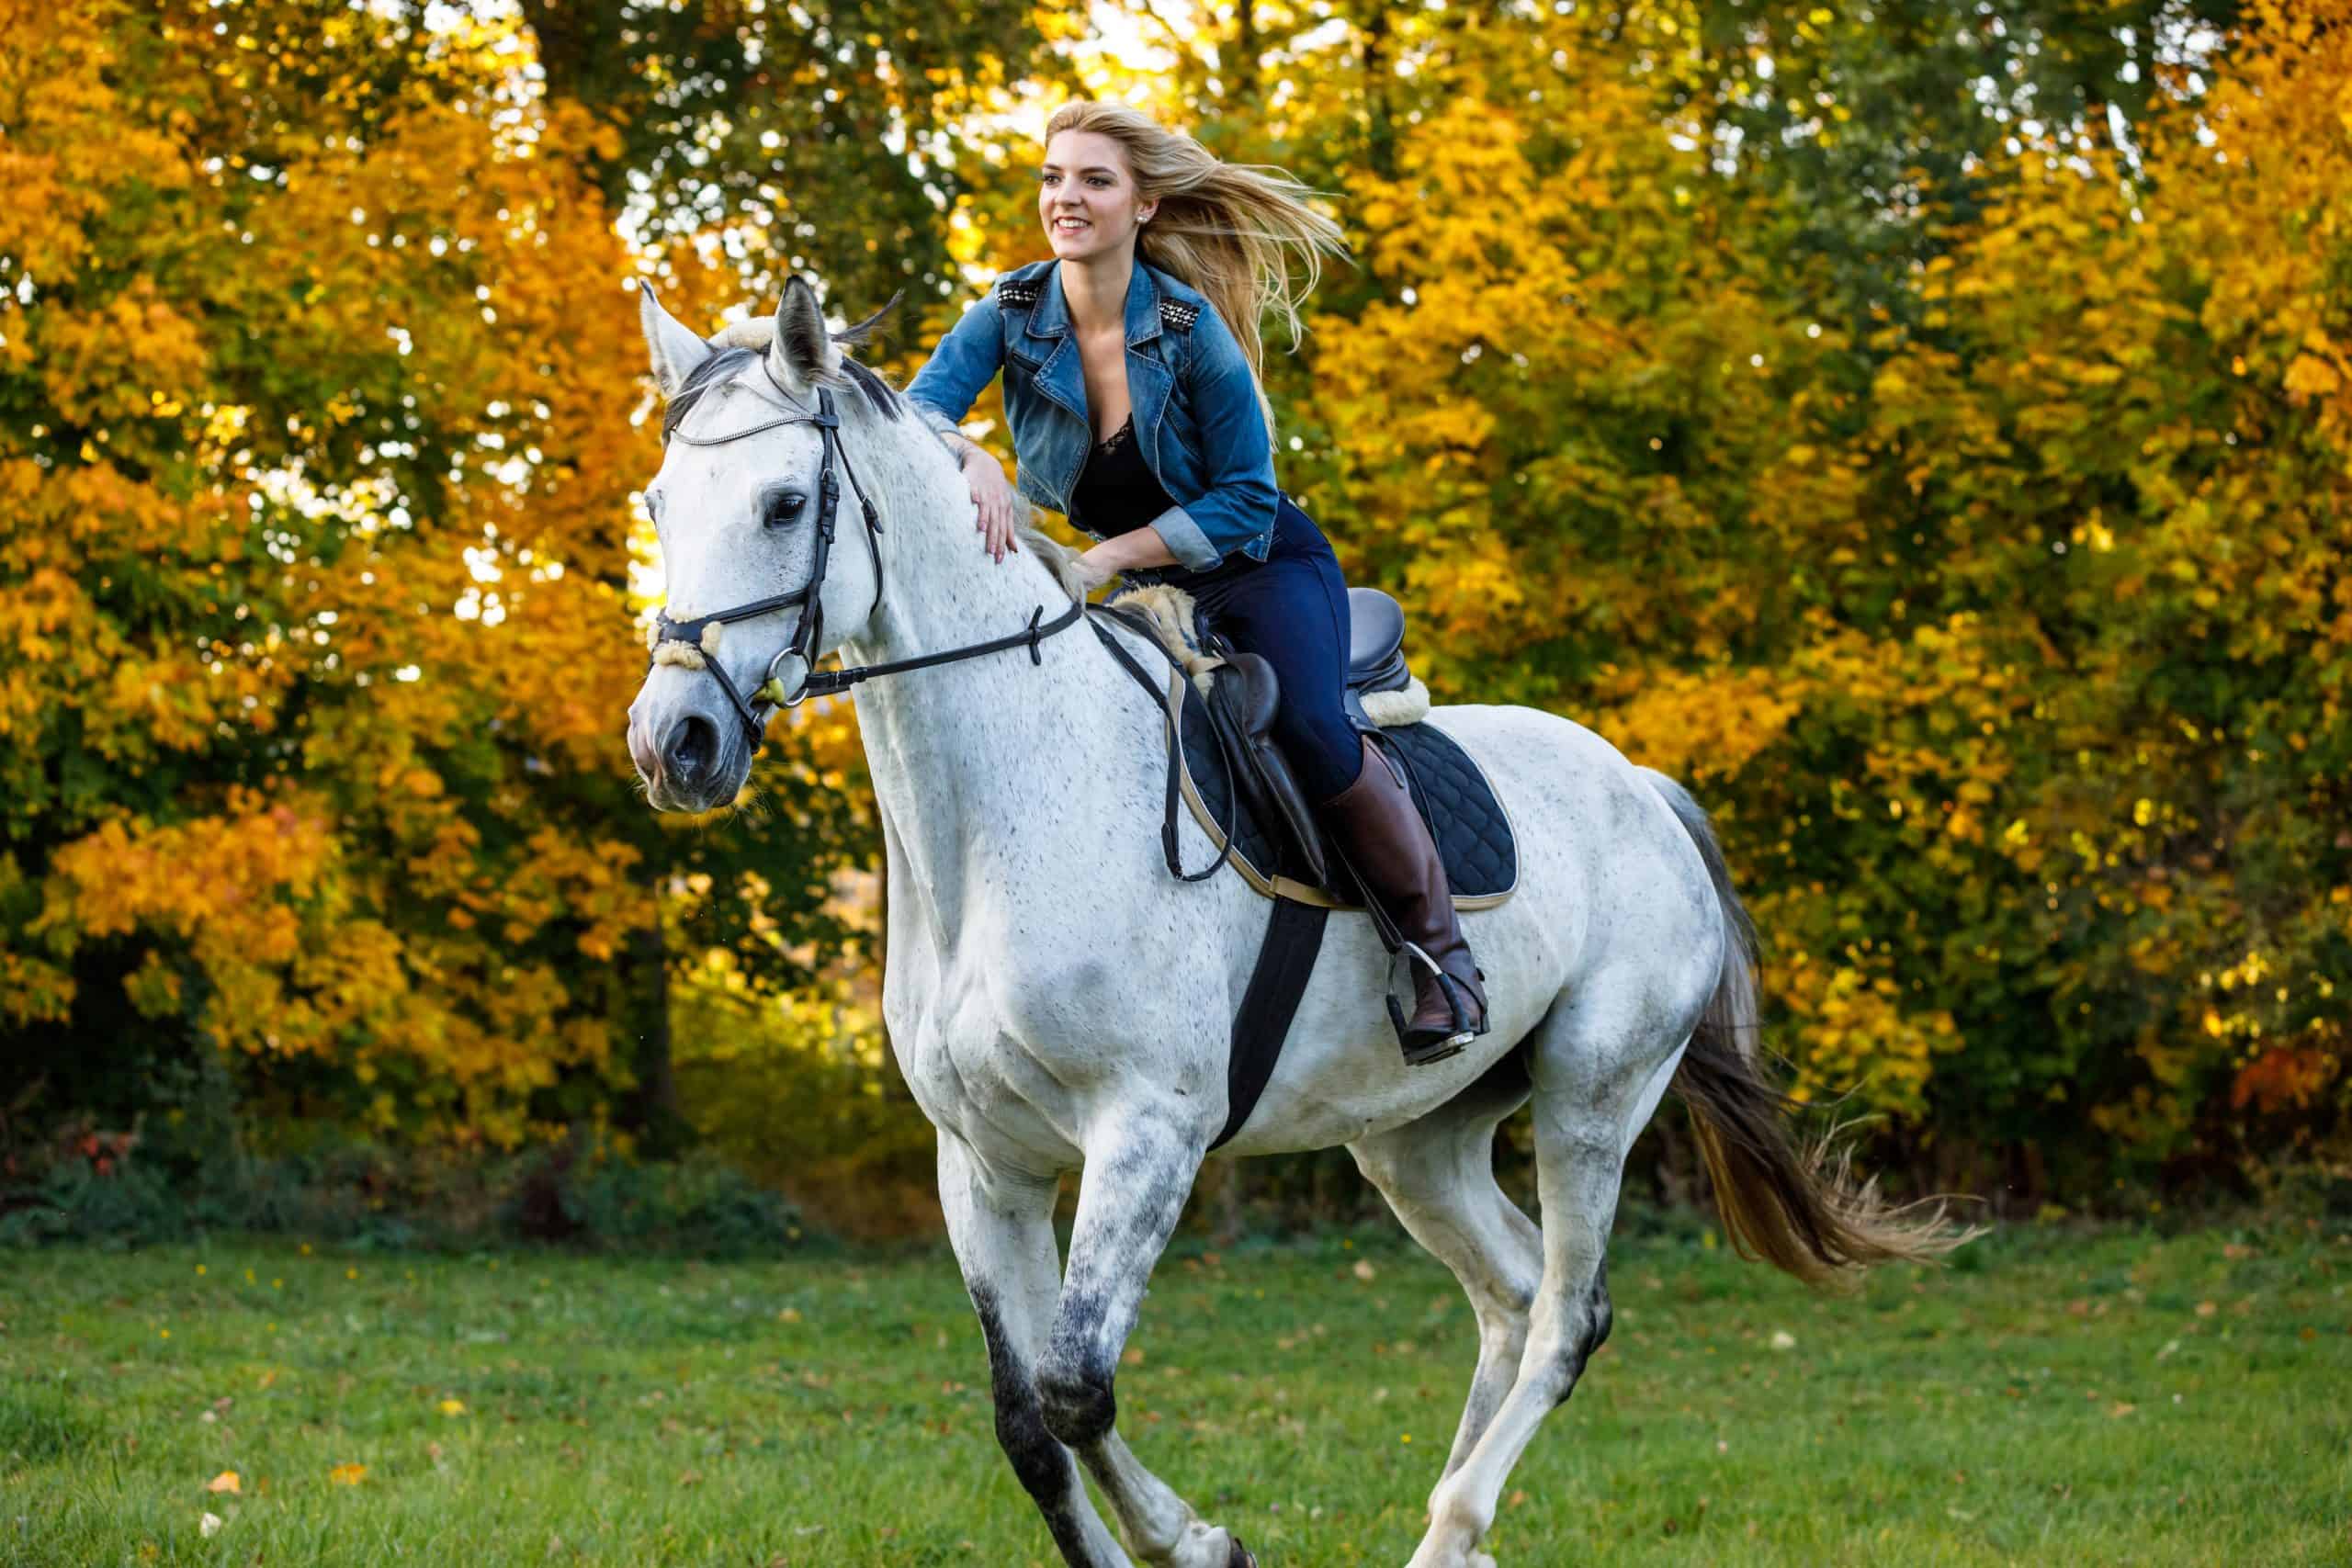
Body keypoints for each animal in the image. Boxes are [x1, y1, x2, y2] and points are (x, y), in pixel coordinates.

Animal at [625, 282, 1966, 1568]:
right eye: (659, 503)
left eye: (786, 502)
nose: (673, 741)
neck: (1003, 816)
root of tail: (1645, 786)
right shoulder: (985, 1157)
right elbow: (1028, 1425)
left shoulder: (1148, 1131)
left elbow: (1073, 1385)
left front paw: (1200, 1539)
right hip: (1419, 1136)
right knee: (1509, 1291)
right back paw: (1451, 1533)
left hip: (1595, 1091)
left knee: (1565, 1316)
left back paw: (1455, 1527)